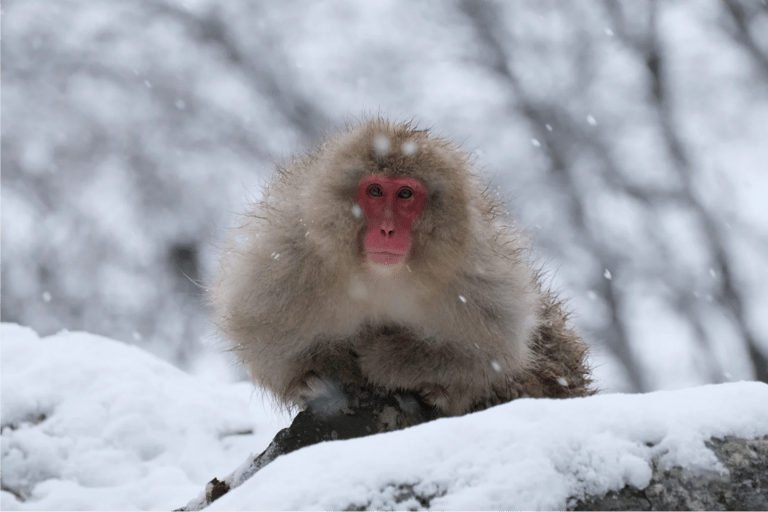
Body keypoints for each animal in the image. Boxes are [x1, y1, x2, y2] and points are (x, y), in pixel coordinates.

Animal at [209, 118, 593, 417]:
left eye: (405, 194)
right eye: (376, 191)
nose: (387, 229)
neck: (379, 277)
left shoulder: (478, 275)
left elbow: (493, 352)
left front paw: (394, 362)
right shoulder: (289, 258)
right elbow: (261, 335)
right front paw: (320, 372)